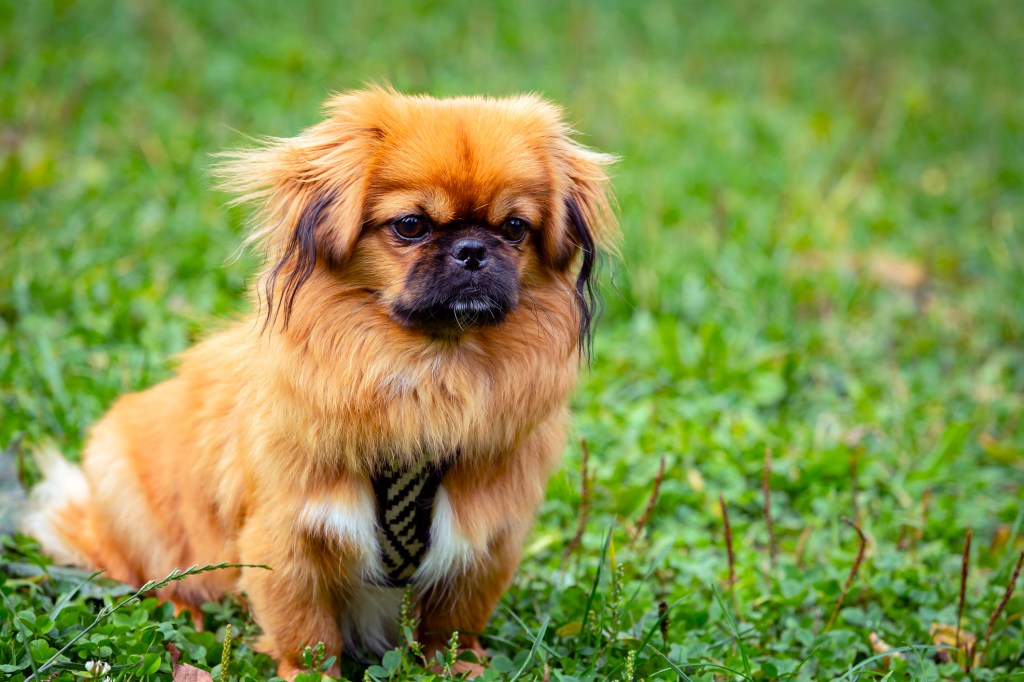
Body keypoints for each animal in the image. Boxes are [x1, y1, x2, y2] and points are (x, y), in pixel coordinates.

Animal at [25, 86, 614, 675]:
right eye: (411, 225)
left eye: (514, 228)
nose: (472, 250)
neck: (431, 372)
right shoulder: (287, 537)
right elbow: (307, 636)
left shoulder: (485, 538)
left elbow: (452, 628)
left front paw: (464, 670)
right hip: (122, 483)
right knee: (150, 574)